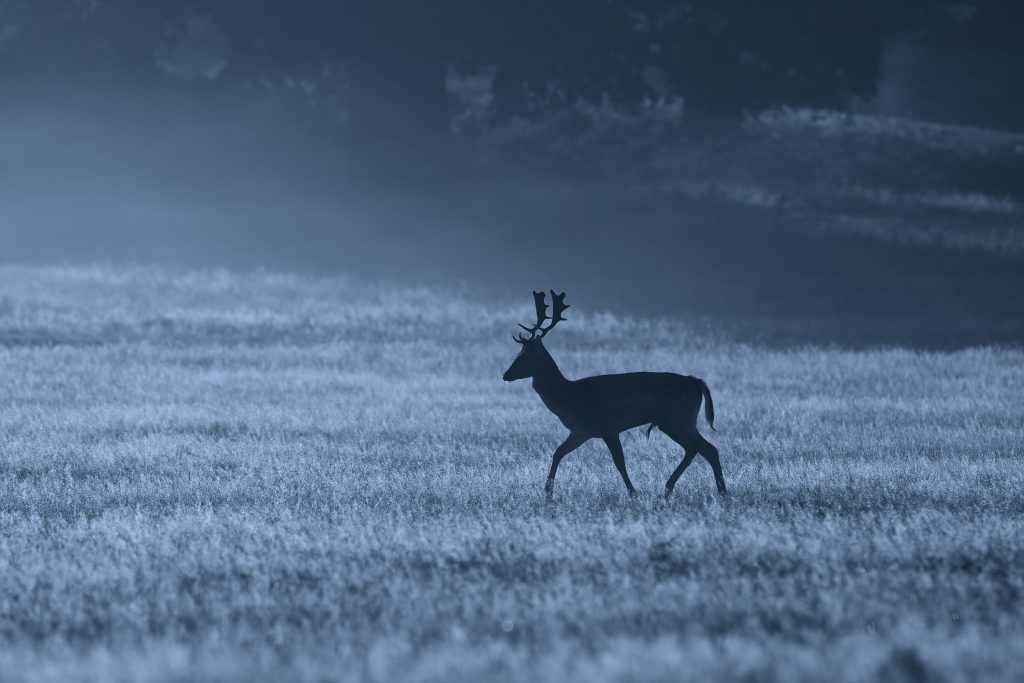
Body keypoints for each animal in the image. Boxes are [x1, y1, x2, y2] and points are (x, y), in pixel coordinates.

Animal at [502, 291, 725, 499]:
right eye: (518, 353)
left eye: (525, 356)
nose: (506, 375)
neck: (569, 398)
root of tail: (697, 383)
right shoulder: (580, 431)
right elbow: (557, 453)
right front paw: (548, 493)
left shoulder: (608, 427)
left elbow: (620, 462)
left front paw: (633, 493)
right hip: (685, 421)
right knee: (708, 449)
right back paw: (718, 490)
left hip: (674, 419)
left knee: (697, 448)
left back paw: (672, 487)